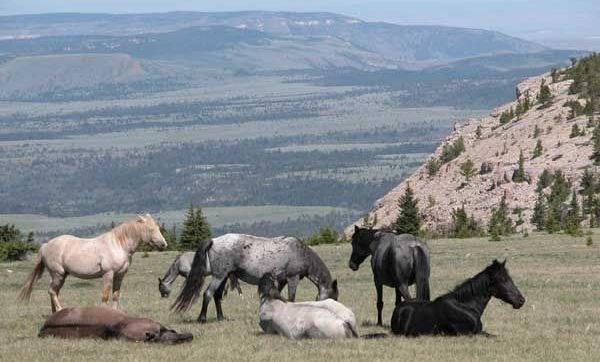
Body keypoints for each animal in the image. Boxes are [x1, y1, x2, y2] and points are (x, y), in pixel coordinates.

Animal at [18, 214, 166, 312]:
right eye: (151, 229)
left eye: (158, 228)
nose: (164, 245)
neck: (118, 245)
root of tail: (46, 245)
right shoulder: (108, 274)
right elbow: (105, 296)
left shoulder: (119, 275)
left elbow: (116, 295)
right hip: (58, 274)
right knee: (52, 291)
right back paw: (60, 309)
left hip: (60, 276)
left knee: (53, 292)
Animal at [172, 235, 338, 322]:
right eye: (334, 298)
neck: (301, 252)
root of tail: (214, 240)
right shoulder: (293, 277)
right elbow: (291, 298)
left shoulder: (282, 280)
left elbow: (278, 295)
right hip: (219, 276)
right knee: (208, 293)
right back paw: (202, 318)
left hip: (224, 276)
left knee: (217, 295)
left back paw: (221, 318)